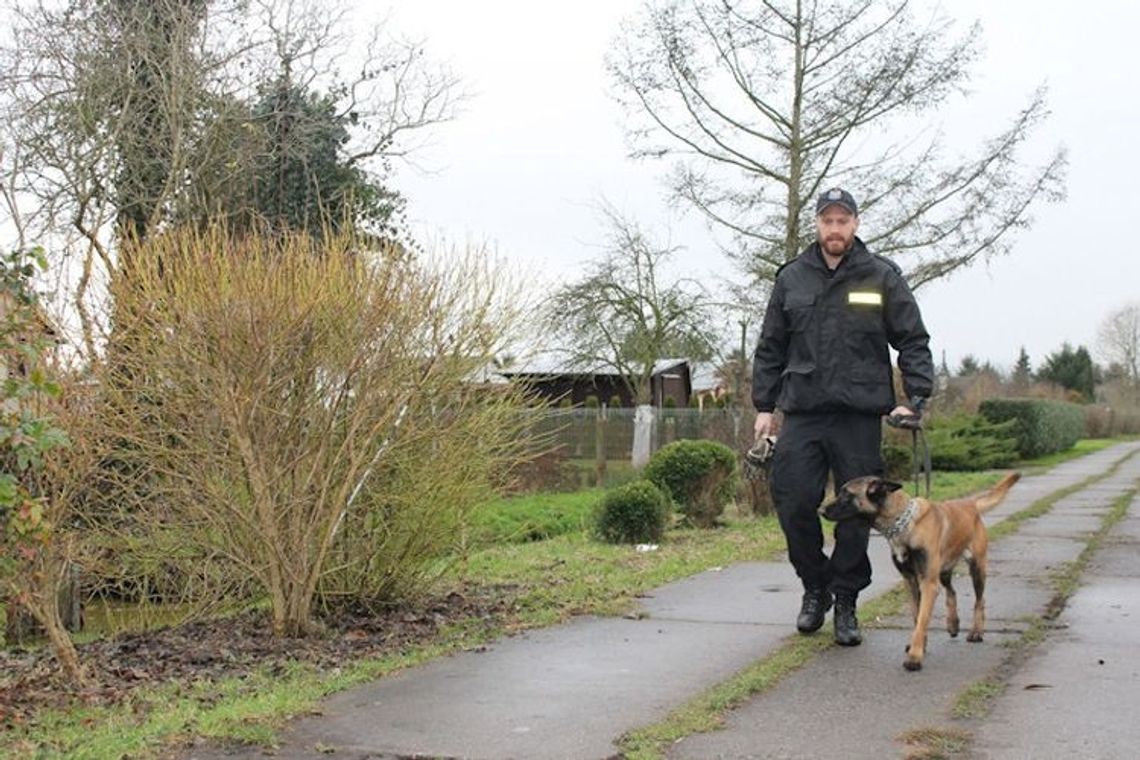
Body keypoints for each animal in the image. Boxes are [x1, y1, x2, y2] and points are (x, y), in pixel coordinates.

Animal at [825, 471, 1021, 674]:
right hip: (943, 572)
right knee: (952, 592)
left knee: (979, 600)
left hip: (976, 568)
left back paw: (976, 631)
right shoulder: (911, 581)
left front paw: (915, 657)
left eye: (846, 494)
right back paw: (953, 623)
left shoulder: (927, 583)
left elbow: (922, 620)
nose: (821, 510)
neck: (902, 523)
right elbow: (916, 616)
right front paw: (920, 646)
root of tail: (970, 504)